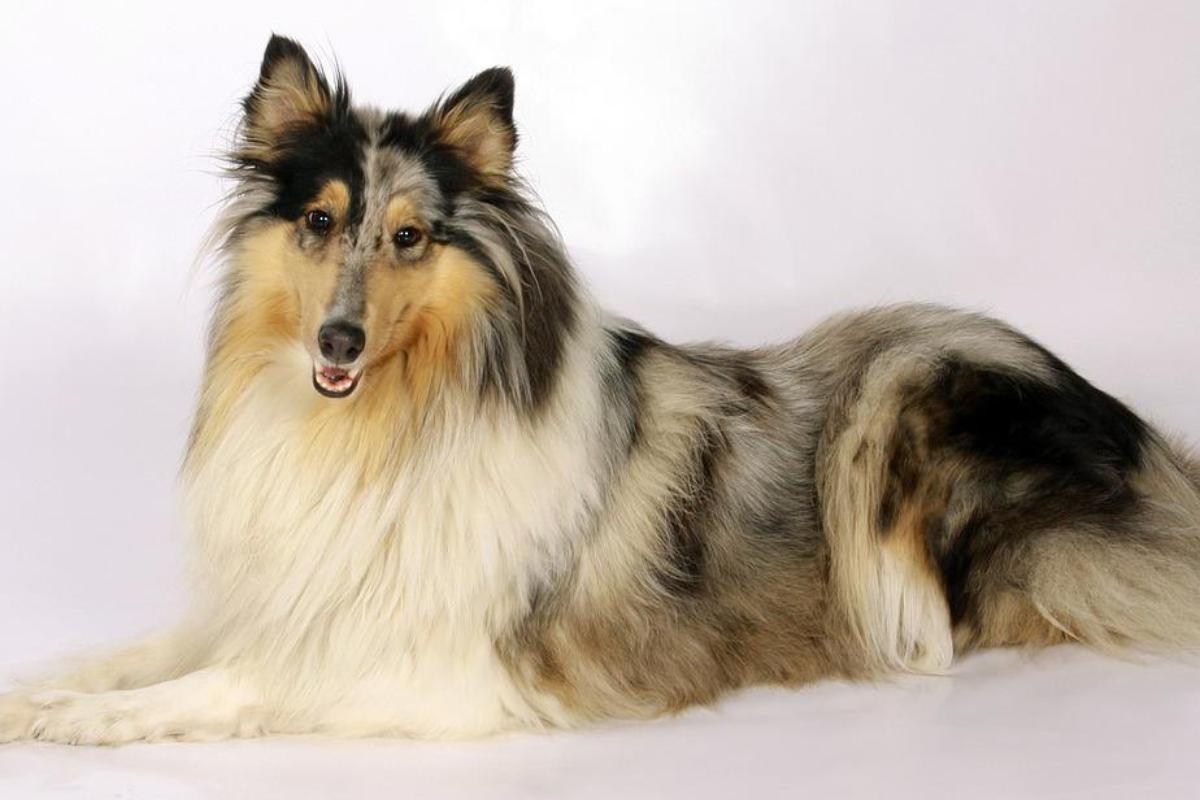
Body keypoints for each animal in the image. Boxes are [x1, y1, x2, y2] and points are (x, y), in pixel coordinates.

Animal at [2, 35, 1199, 745]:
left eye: (410, 237)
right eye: (319, 221)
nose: (337, 339)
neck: (387, 427)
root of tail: (1158, 457)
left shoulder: (442, 667)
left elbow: (233, 681)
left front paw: (81, 721)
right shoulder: (283, 591)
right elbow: (149, 650)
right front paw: (40, 689)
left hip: (897, 394)